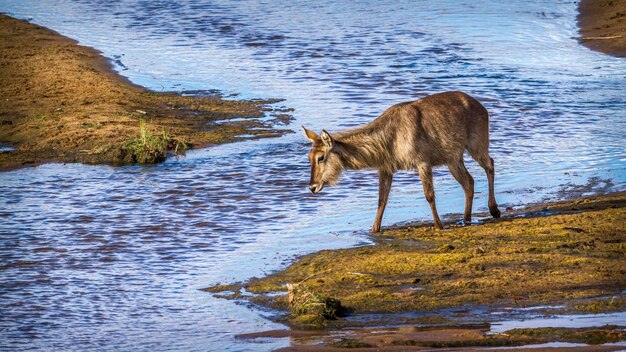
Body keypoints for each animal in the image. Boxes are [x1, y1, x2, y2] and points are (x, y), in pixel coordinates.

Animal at [300, 92, 500, 232]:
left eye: (320, 157)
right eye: (308, 157)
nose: (312, 187)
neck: (389, 140)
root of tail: (482, 107)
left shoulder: (422, 162)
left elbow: (429, 195)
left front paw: (438, 225)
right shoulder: (386, 168)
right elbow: (381, 199)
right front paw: (374, 229)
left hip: (476, 145)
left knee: (490, 164)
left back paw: (494, 210)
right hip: (453, 158)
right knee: (469, 182)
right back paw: (466, 219)